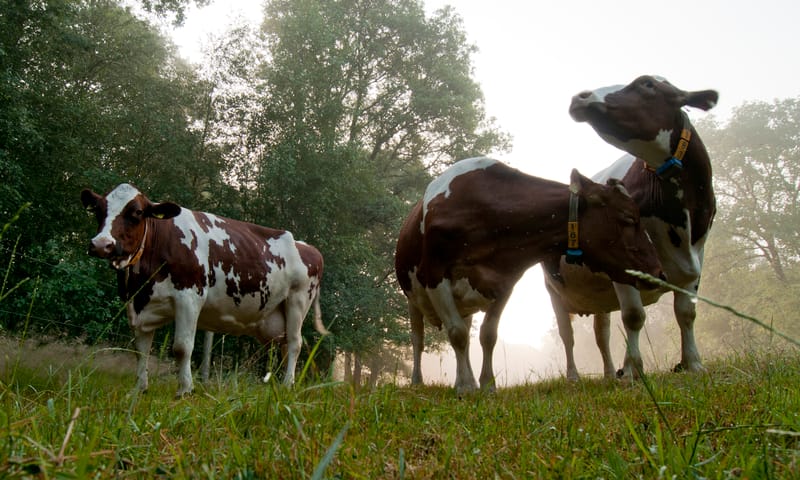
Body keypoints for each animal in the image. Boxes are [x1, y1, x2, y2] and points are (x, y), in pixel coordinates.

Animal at [81, 184, 328, 397]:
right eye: (98, 210)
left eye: (137, 212)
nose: (101, 244)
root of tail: (308, 247)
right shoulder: (139, 306)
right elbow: (141, 349)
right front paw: (139, 389)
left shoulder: (189, 297)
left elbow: (182, 347)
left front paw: (185, 390)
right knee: (284, 345)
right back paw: (279, 385)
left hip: (298, 300)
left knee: (295, 343)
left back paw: (287, 385)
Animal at [394, 157, 665, 394]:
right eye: (629, 218)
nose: (659, 272)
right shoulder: (434, 274)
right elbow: (457, 334)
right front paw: (467, 387)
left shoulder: (503, 282)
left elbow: (487, 335)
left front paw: (486, 384)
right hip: (412, 299)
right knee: (418, 338)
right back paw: (417, 382)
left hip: (464, 304)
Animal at [544, 75, 718, 380]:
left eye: (646, 84)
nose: (580, 97)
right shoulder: (624, 263)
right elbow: (634, 316)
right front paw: (632, 369)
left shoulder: (696, 258)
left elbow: (687, 313)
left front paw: (693, 363)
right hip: (555, 292)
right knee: (568, 335)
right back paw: (574, 376)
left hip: (599, 297)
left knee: (601, 334)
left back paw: (608, 374)